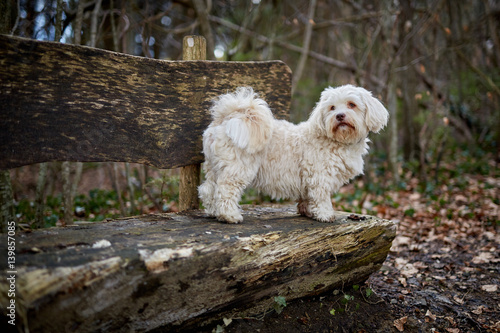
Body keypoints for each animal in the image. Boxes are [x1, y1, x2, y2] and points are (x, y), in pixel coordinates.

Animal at [197, 84, 388, 222]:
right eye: (332, 107)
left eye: (351, 105)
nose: (340, 115)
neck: (336, 140)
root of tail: (226, 118)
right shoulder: (320, 177)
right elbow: (321, 197)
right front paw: (325, 214)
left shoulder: (308, 179)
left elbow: (308, 198)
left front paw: (308, 211)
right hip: (237, 168)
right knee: (225, 190)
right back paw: (229, 215)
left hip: (214, 167)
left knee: (208, 189)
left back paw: (213, 212)